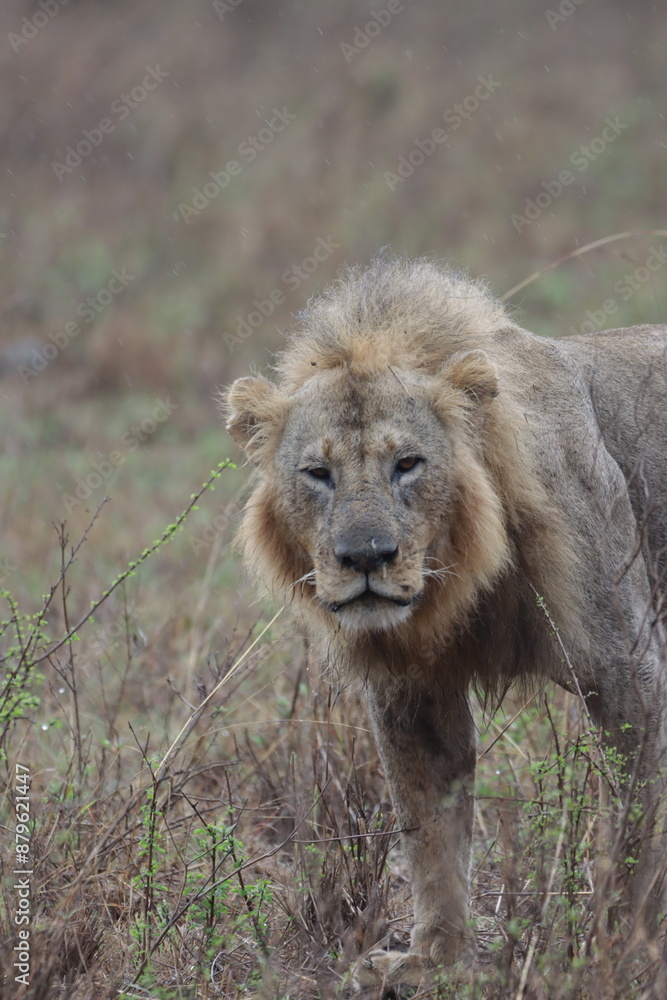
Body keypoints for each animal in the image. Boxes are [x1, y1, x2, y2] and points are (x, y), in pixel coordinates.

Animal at [225, 255, 667, 990]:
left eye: (408, 464)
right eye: (317, 473)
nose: (366, 557)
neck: (462, 576)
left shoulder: (631, 679)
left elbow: (635, 834)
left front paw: (619, 952)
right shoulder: (412, 692)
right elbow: (431, 835)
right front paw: (433, 960)